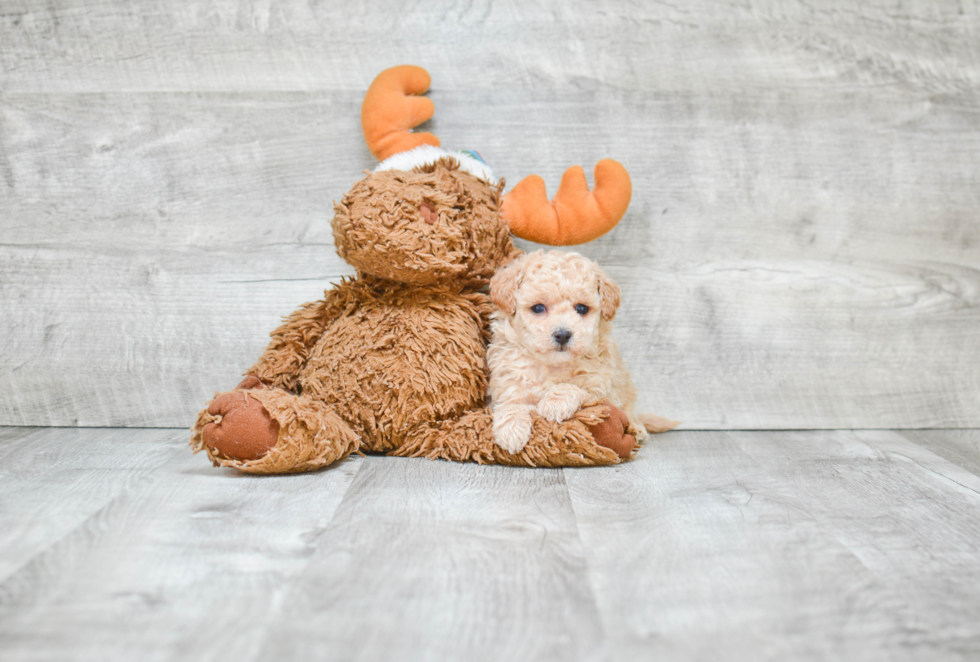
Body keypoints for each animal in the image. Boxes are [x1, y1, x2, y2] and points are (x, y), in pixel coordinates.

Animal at [488, 250, 644, 456]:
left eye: (582, 308)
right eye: (538, 308)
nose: (562, 334)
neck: (553, 366)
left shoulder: (601, 386)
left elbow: (574, 386)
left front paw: (554, 403)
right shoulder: (509, 380)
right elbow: (511, 402)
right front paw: (511, 430)